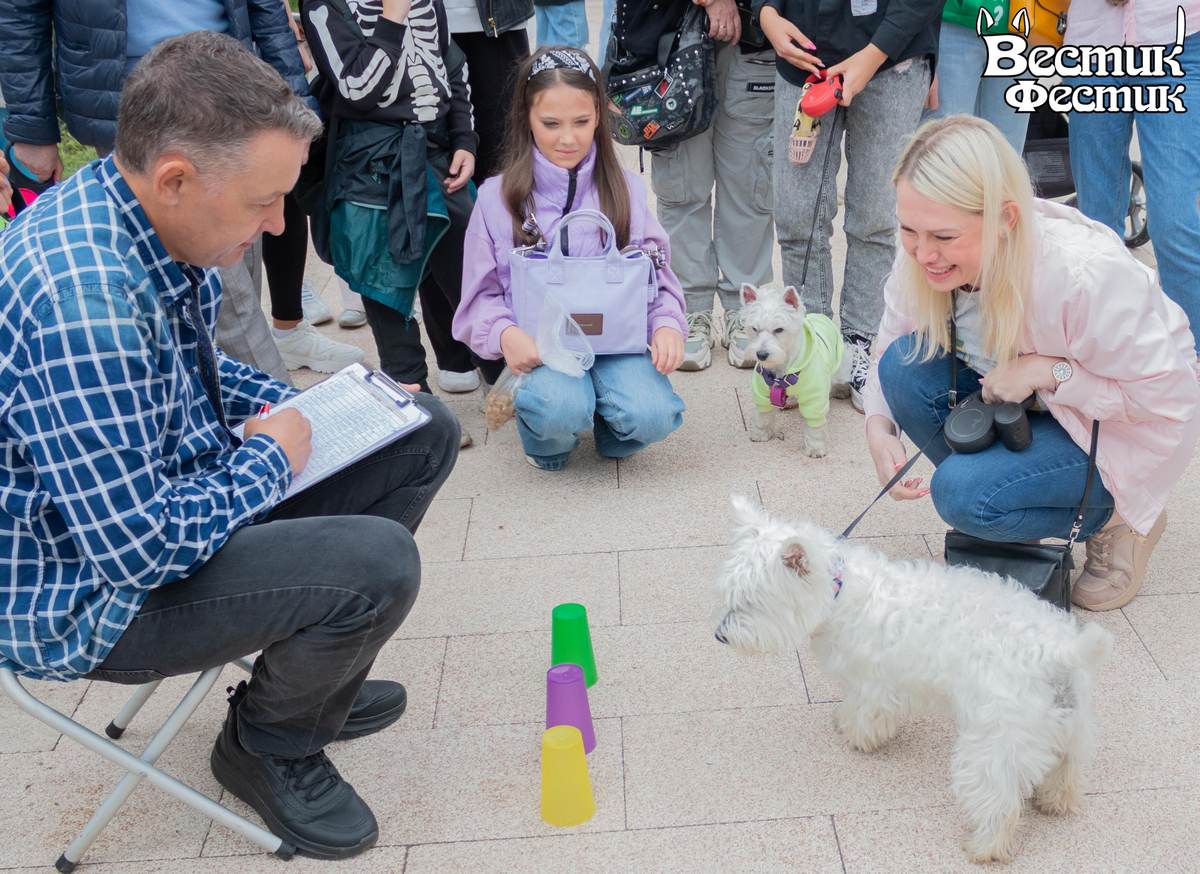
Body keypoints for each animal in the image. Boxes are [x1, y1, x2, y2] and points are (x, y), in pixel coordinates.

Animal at [710, 494, 1113, 864]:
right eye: (728, 594)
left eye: (751, 601)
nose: (720, 636)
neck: (840, 590)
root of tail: (1060, 652)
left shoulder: (874, 681)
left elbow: (867, 712)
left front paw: (858, 736)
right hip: (1071, 730)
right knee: (1066, 770)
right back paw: (1055, 803)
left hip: (992, 746)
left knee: (999, 804)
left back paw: (984, 848)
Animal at [739, 283, 854, 453]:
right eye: (754, 328)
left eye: (779, 329)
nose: (761, 354)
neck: (782, 368)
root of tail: (822, 316)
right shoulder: (761, 393)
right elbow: (763, 416)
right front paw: (761, 434)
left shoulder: (815, 398)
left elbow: (815, 425)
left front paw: (815, 447)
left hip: (841, 363)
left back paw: (841, 390)